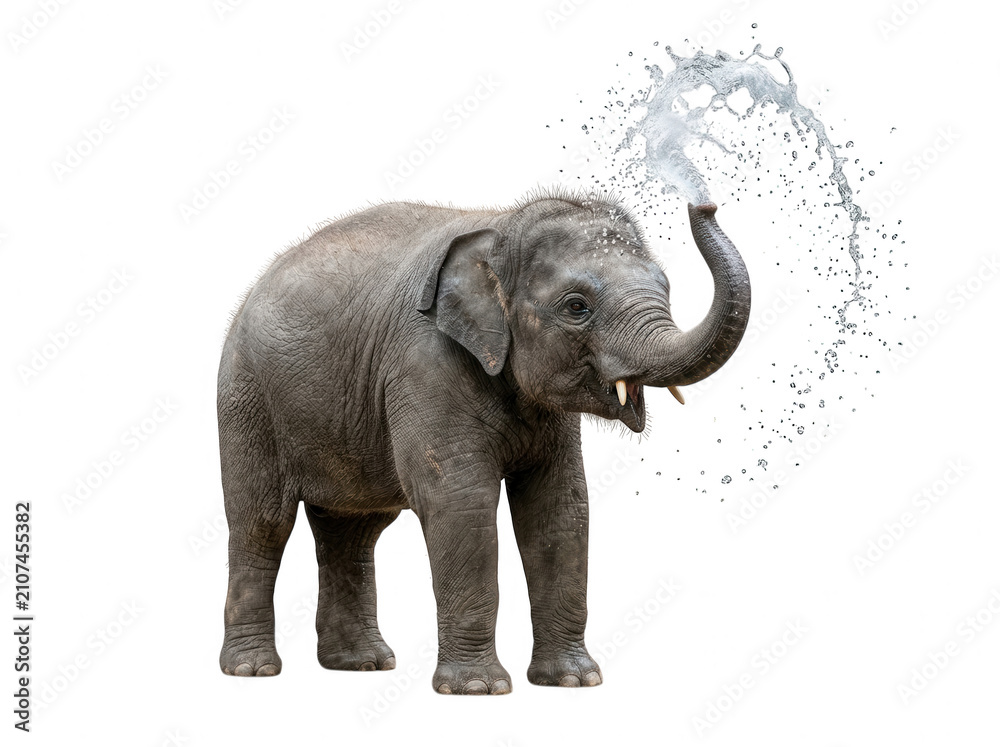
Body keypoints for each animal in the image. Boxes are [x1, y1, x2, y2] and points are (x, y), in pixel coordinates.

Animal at [217, 191, 750, 694]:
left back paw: (362, 664)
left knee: (354, 531)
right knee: (261, 523)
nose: (704, 203)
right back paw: (252, 669)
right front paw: (477, 688)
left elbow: (559, 509)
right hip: (246, 401)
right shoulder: (424, 364)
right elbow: (460, 503)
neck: (499, 228)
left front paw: (574, 681)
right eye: (576, 306)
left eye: (667, 289)